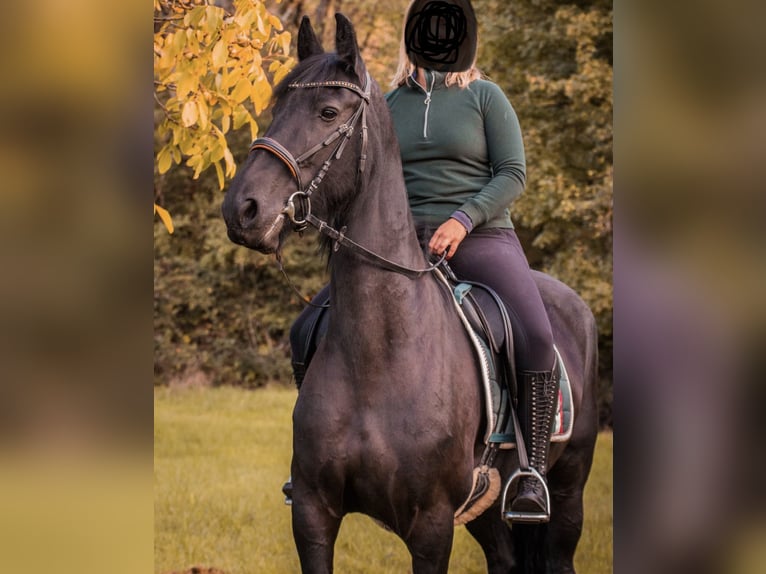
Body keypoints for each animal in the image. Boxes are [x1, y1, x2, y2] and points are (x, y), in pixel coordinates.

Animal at [221, 13, 599, 574]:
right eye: (275, 108)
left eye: (328, 111)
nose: (241, 209)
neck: (380, 354)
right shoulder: (312, 513)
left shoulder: (431, 525)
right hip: (487, 510)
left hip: (568, 490)